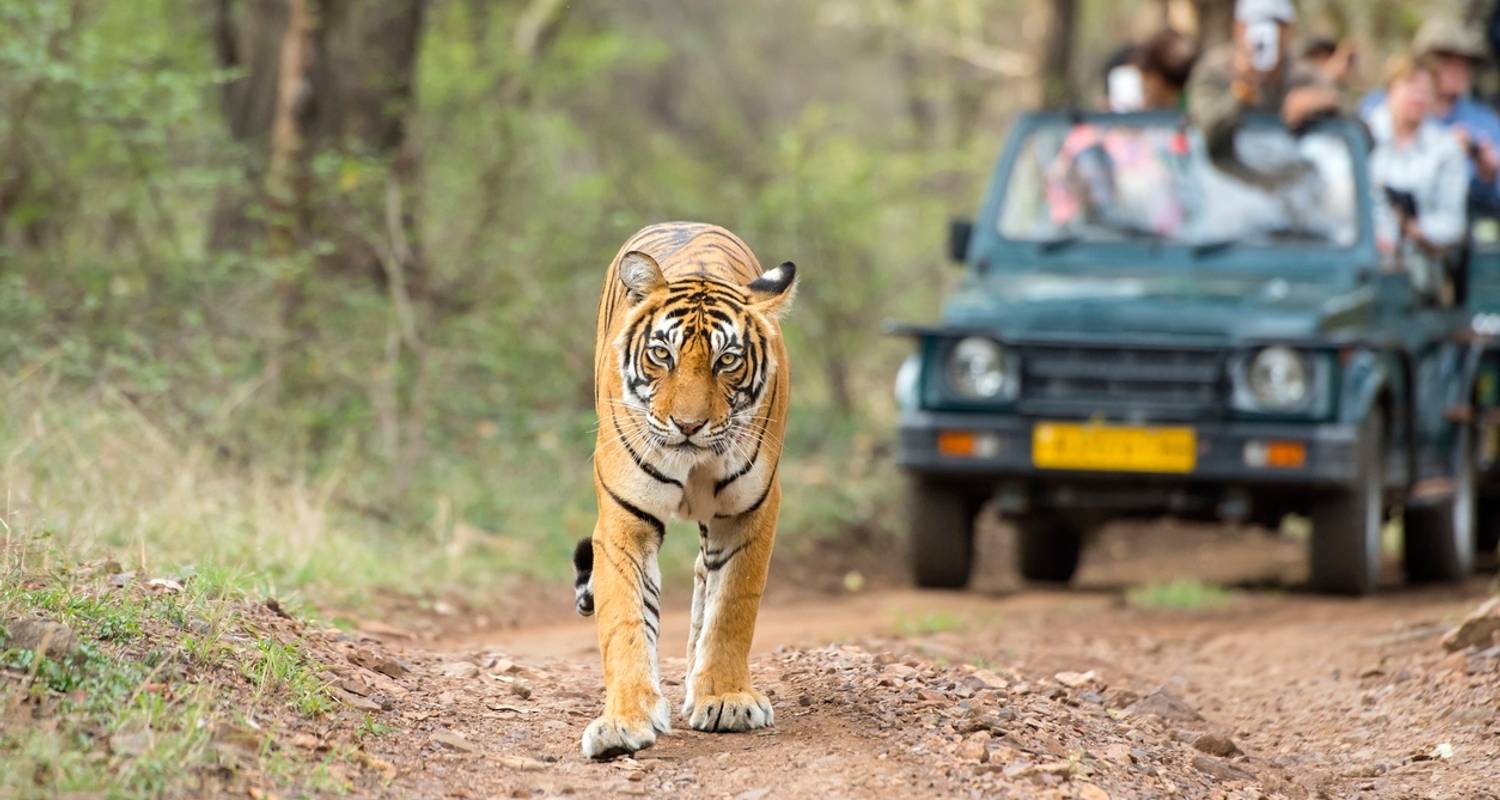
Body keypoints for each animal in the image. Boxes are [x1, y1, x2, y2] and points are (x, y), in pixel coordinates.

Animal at [567, 222, 798, 756]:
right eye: (661, 355)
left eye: (727, 360)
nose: (688, 426)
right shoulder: (624, 519)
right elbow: (626, 619)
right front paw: (623, 722)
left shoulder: (750, 512)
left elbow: (732, 607)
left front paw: (726, 698)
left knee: (703, 580)